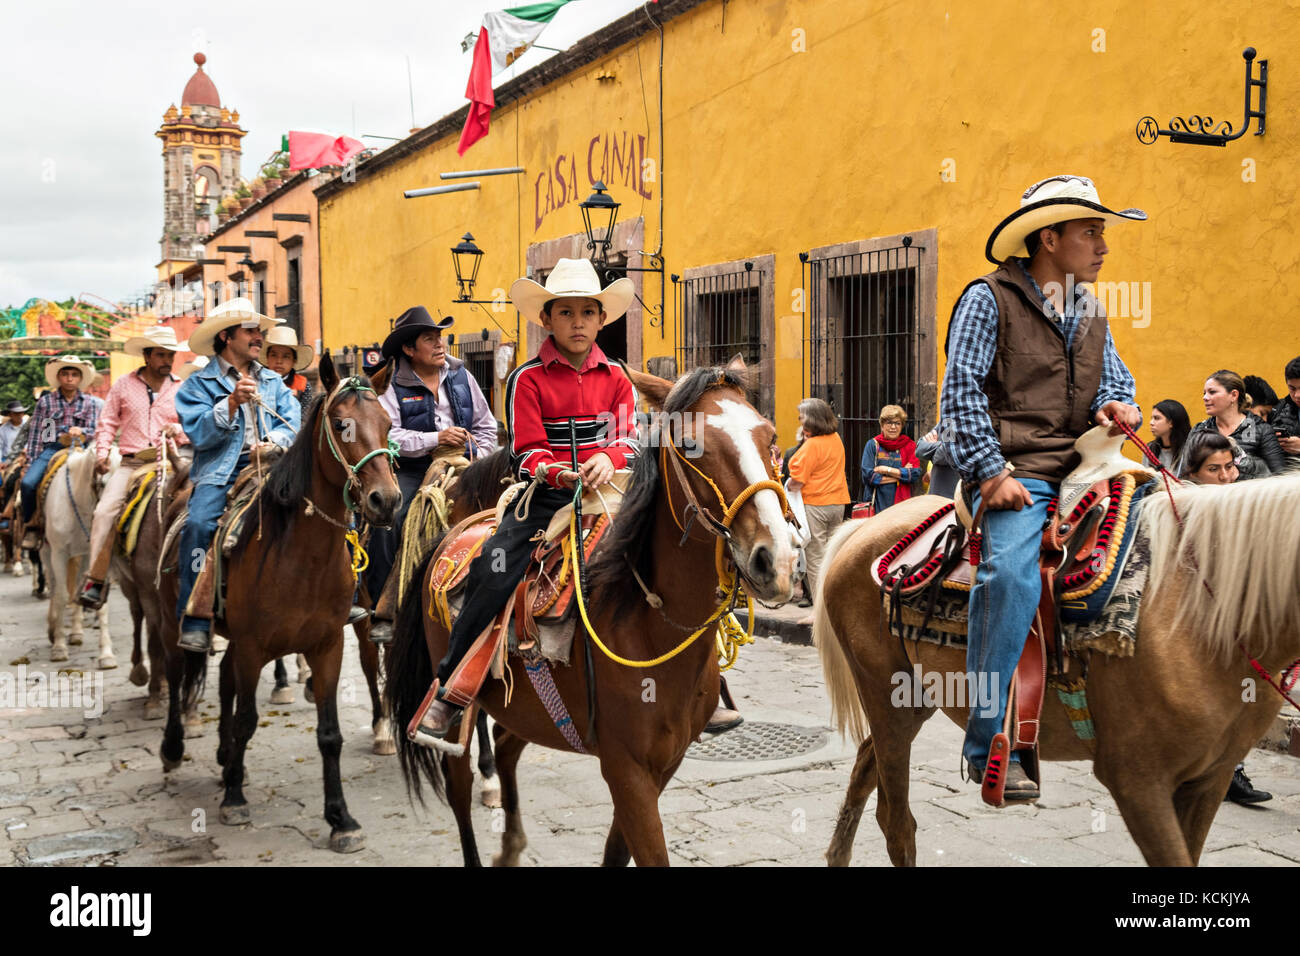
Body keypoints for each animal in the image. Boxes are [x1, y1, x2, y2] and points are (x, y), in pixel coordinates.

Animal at [40, 447, 113, 665]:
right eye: (103, 483)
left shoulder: (96, 554)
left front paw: (106, 654)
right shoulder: (59, 554)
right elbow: (61, 595)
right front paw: (59, 647)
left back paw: (76, 633)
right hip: (47, 553)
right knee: (54, 586)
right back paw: (53, 628)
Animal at [153, 356, 395, 858]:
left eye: (386, 423)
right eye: (340, 424)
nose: (386, 500)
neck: (301, 556)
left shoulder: (326, 647)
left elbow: (329, 735)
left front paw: (341, 820)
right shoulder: (252, 646)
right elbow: (247, 719)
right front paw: (234, 801)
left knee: (224, 682)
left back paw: (228, 760)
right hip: (172, 622)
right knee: (176, 670)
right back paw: (174, 749)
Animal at [382, 361, 800, 868]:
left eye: (770, 436)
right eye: (690, 445)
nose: (776, 559)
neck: (647, 623)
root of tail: (455, 530)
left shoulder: (662, 764)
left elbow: (616, 852)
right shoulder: (626, 767)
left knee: (505, 747)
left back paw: (511, 844)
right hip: (456, 704)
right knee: (459, 786)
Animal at [811, 470, 1300, 868]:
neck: (1198, 608)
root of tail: (864, 526)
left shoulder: (1209, 778)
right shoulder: (1138, 781)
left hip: (916, 697)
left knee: (866, 766)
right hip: (885, 693)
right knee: (896, 821)